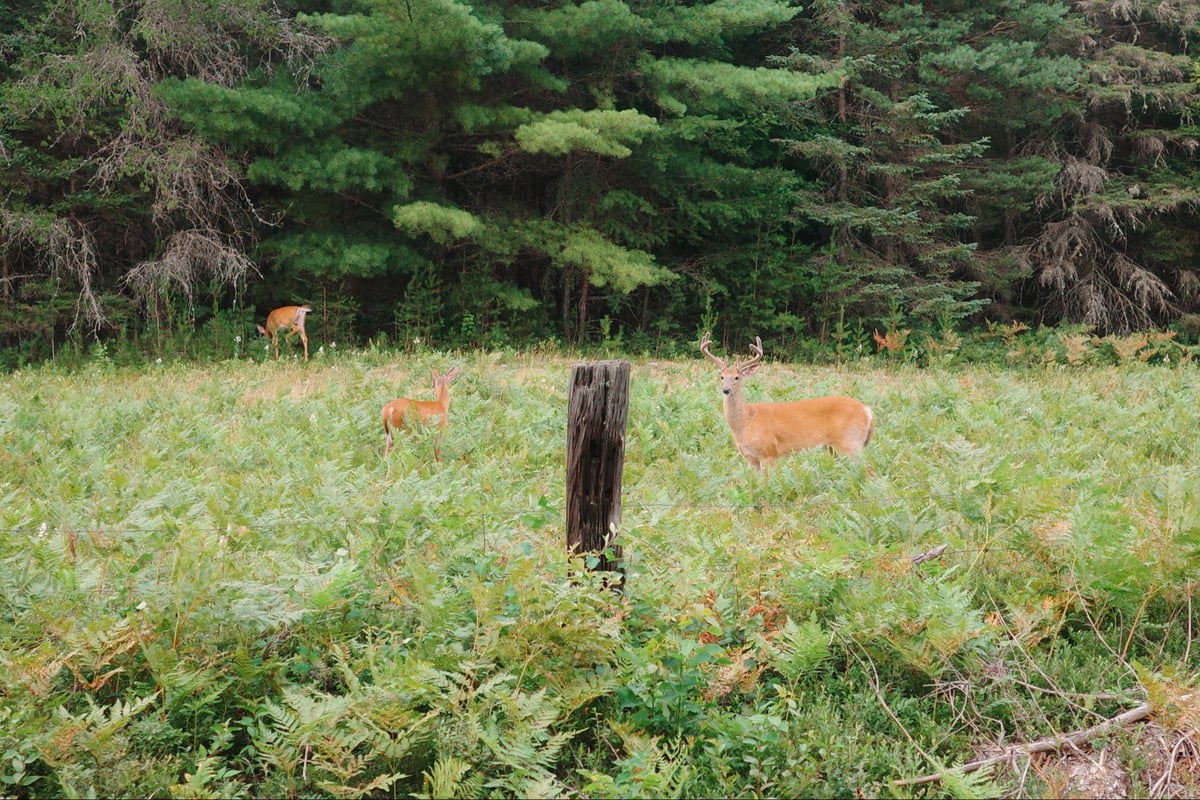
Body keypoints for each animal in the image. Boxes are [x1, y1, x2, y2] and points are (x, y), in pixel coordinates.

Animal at [699, 331, 874, 471]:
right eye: (722, 377)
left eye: (737, 377)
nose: (726, 390)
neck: (746, 421)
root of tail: (868, 411)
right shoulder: (750, 458)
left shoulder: (769, 451)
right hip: (835, 448)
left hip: (850, 442)